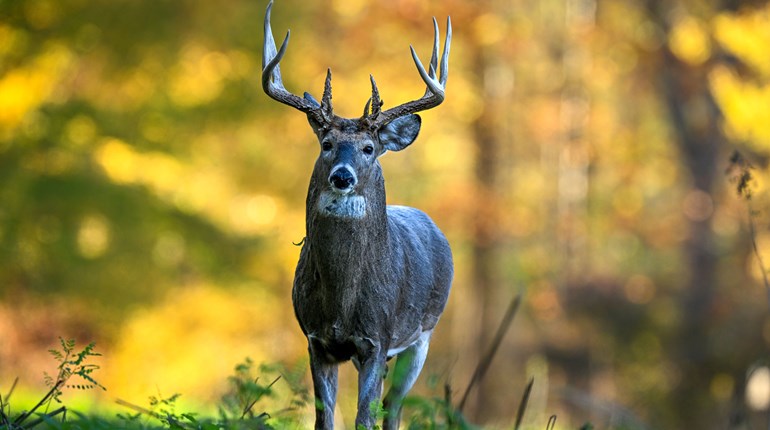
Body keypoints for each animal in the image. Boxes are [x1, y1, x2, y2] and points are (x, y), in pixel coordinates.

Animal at [261, 1, 453, 428]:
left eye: (368, 148)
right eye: (327, 143)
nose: (342, 176)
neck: (342, 301)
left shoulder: (377, 340)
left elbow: (365, 417)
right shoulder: (316, 340)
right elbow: (325, 419)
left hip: (423, 336)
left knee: (394, 408)